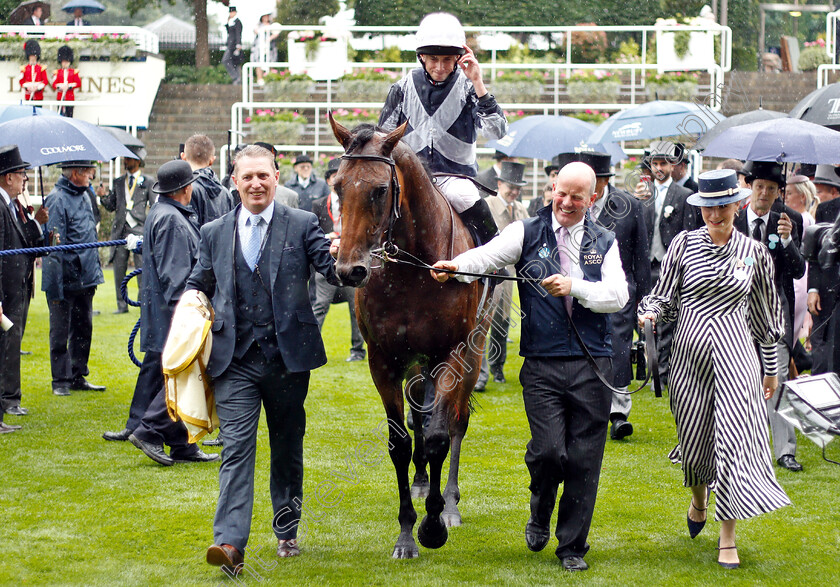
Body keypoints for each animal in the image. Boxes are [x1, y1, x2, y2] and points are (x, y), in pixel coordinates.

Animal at [324, 115, 488, 560]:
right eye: (338, 186)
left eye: (380, 190)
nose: (349, 271)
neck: (415, 269)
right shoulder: (384, 360)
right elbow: (401, 441)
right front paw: (405, 533)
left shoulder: (451, 354)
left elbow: (439, 436)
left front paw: (433, 525)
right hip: (417, 364)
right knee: (420, 416)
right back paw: (420, 483)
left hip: (474, 352)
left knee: (456, 423)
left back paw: (449, 503)